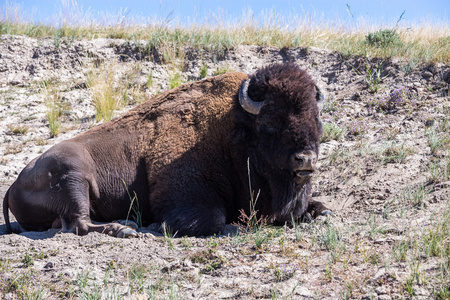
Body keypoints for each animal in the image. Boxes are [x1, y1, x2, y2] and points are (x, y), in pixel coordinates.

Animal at [2, 62, 330, 237]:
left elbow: (320, 208)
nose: (306, 160)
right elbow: (214, 220)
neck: (231, 129)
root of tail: (13, 185)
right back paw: (125, 228)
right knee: (78, 223)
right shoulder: (185, 197)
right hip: (73, 175)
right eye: (271, 122)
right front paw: (158, 226)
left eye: (316, 119)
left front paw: (319, 210)